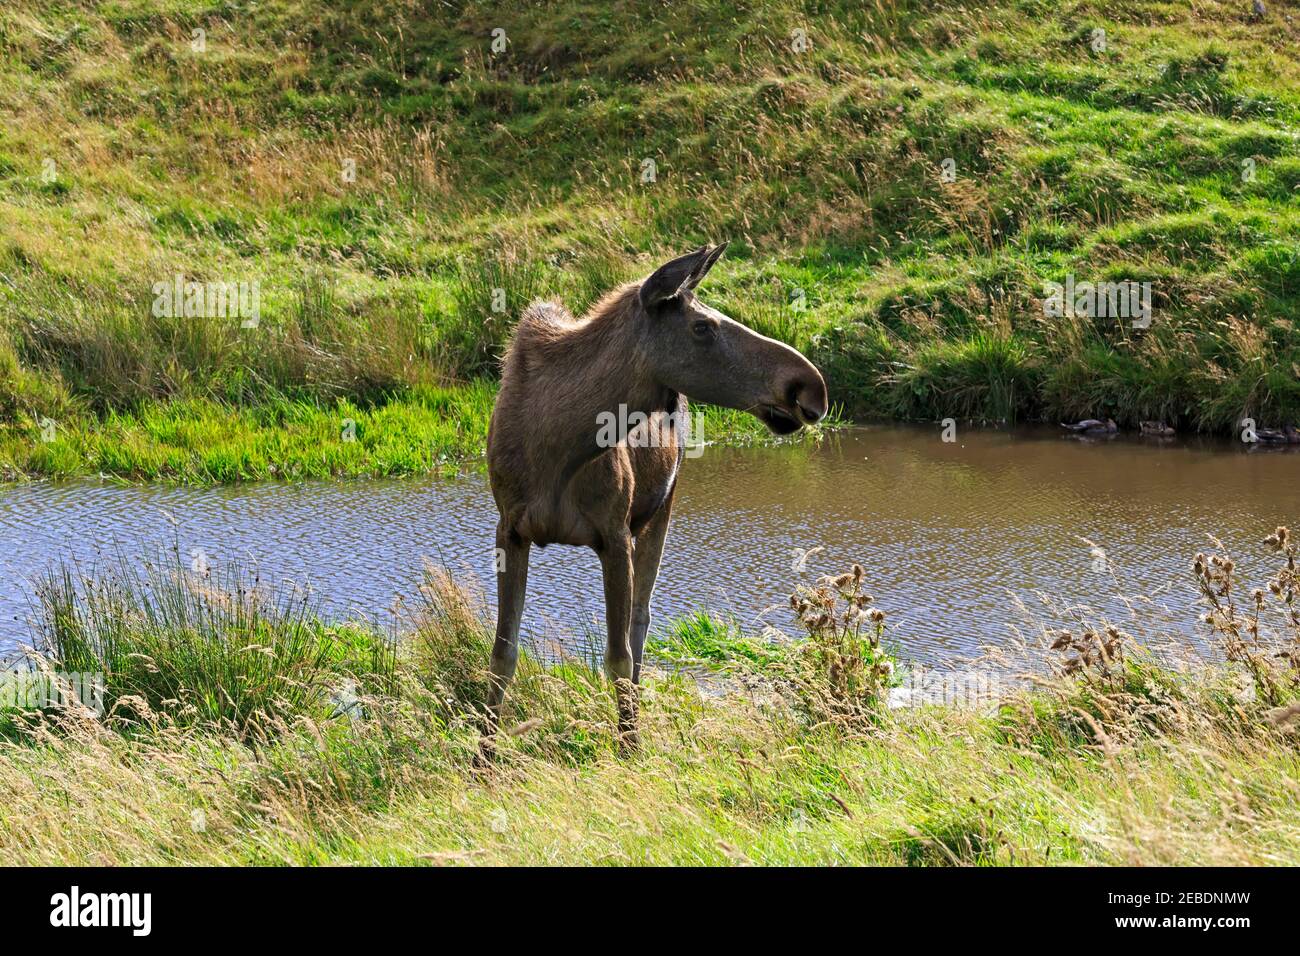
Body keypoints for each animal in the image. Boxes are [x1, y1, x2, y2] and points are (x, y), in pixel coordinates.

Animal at [483, 243, 826, 749]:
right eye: (702, 326)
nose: (809, 386)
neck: (557, 450)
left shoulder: (614, 534)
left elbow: (619, 657)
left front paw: (629, 746)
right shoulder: (509, 529)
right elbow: (502, 656)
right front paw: (482, 754)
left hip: (663, 507)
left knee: (641, 620)